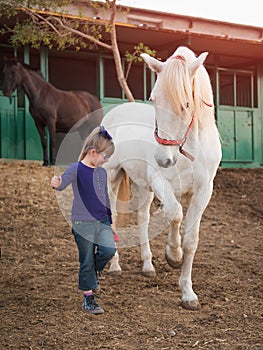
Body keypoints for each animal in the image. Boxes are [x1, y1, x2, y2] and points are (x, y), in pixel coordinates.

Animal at [102, 45, 222, 308]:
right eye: (154, 99)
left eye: (186, 104)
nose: (163, 159)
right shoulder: (161, 183)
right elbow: (174, 214)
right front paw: (173, 255)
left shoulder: (202, 192)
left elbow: (190, 239)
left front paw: (188, 293)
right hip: (111, 175)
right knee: (112, 217)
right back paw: (114, 265)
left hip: (142, 186)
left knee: (142, 218)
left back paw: (147, 266)